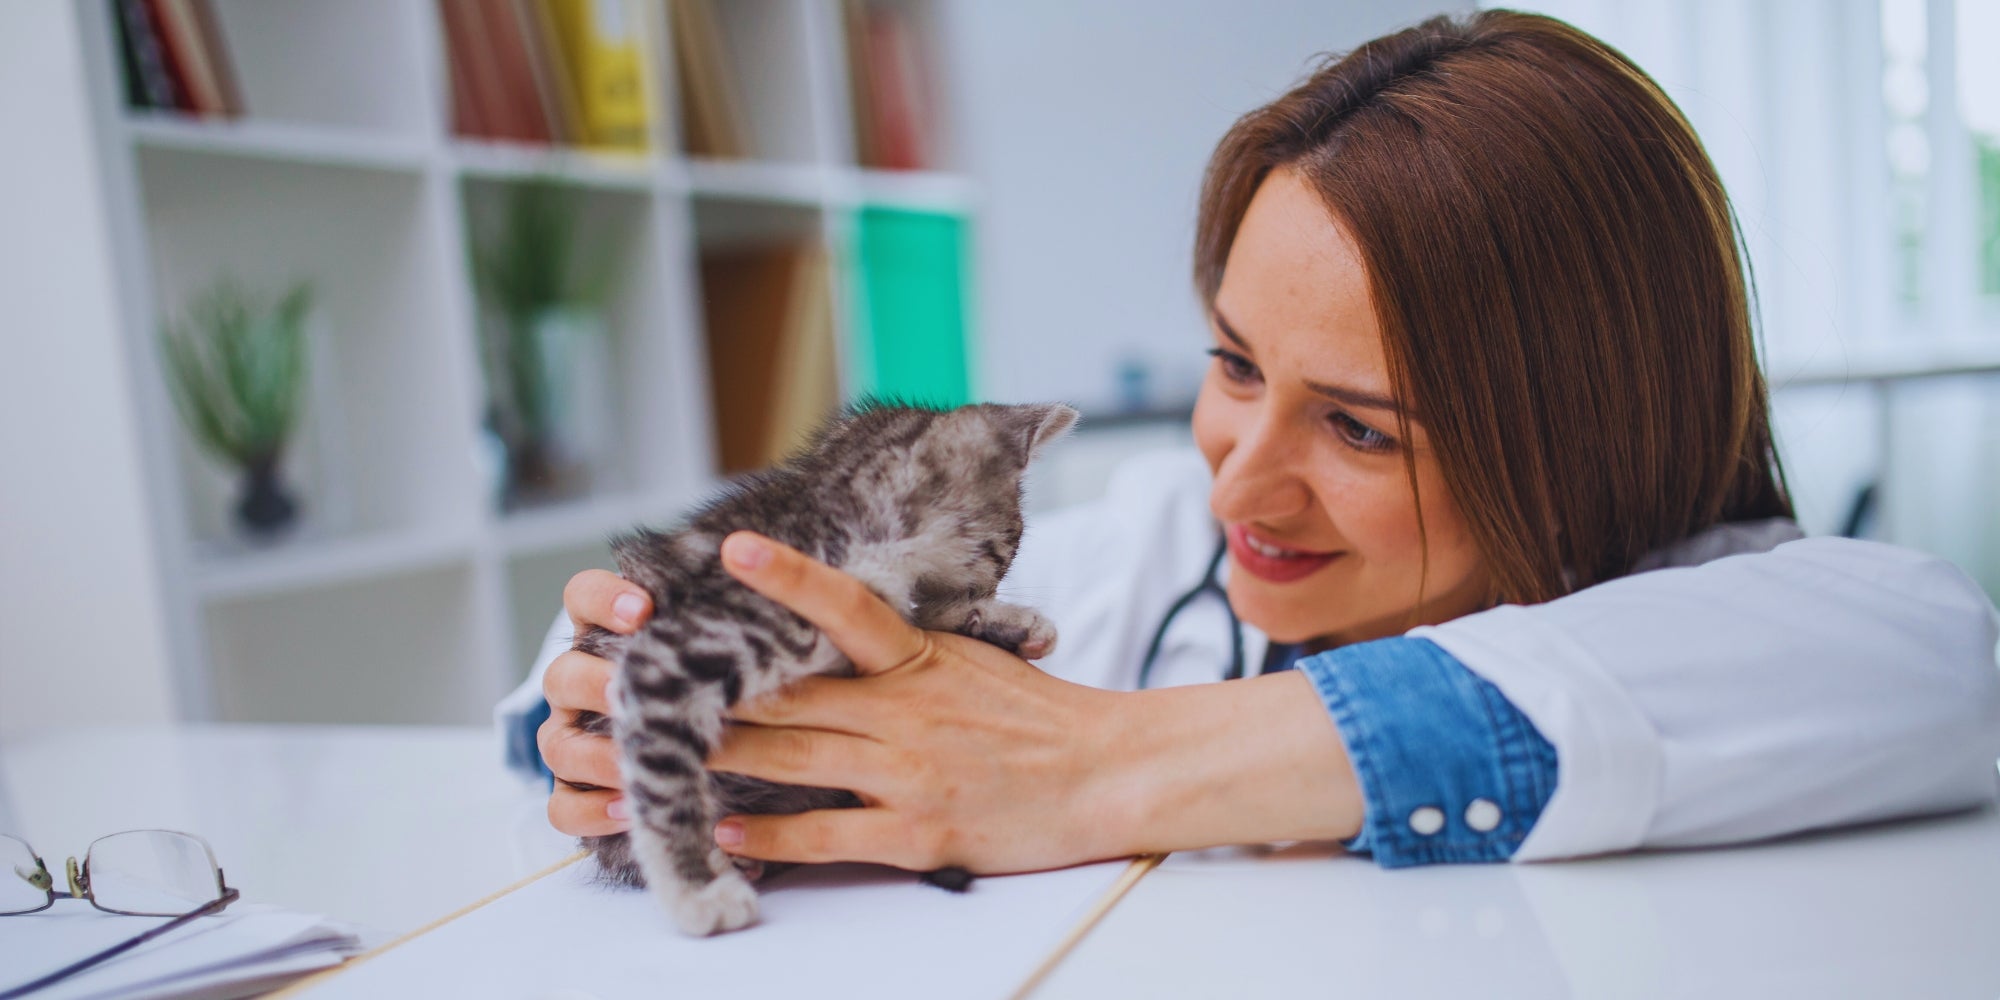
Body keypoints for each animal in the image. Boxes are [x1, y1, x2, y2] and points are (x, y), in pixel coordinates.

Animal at [572, 400, 1080, 936]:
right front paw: (697, 891)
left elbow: (920, 619)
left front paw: (1008, 624)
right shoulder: (666, 655)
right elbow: (665, 788)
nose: (994, 587)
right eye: (1008, 550)